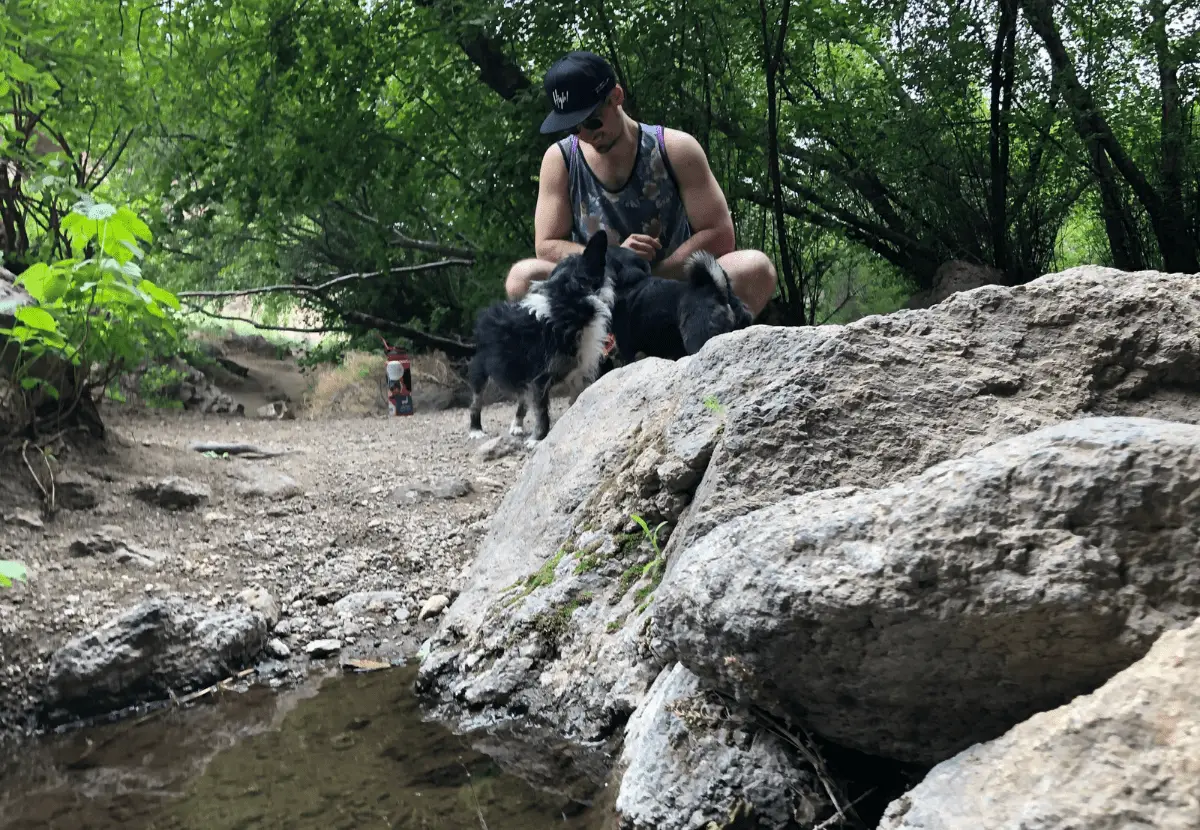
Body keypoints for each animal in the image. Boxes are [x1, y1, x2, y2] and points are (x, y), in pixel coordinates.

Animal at [468, 230, 619, 443]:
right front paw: (537, 439)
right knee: (476, 401)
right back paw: (475, 429)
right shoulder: (539, 380)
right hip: (482, 372)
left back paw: (517, 425)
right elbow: (541, 412)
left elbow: (574, 401)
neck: (569, 301)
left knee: (522, 400)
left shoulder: (577, 375)